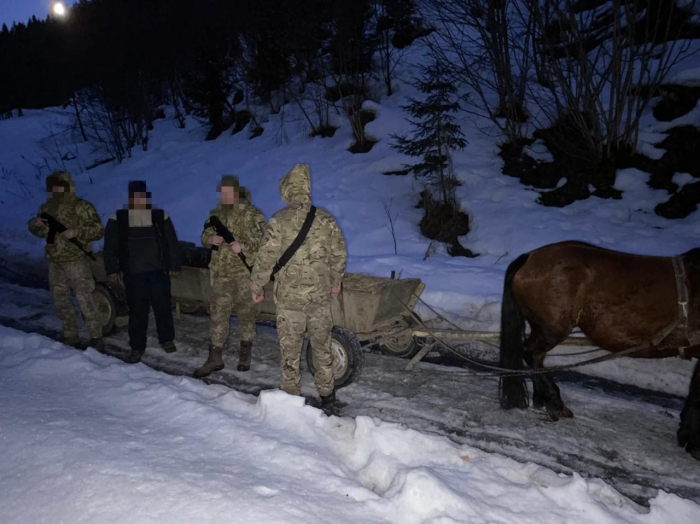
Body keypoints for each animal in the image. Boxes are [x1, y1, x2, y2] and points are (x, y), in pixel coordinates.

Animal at [498, 242, 700, 458]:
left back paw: (542, 398)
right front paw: (693, 442)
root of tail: (529, 257)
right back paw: (554, 402)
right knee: (531, 354)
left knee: (536, 357)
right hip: (552, 329)